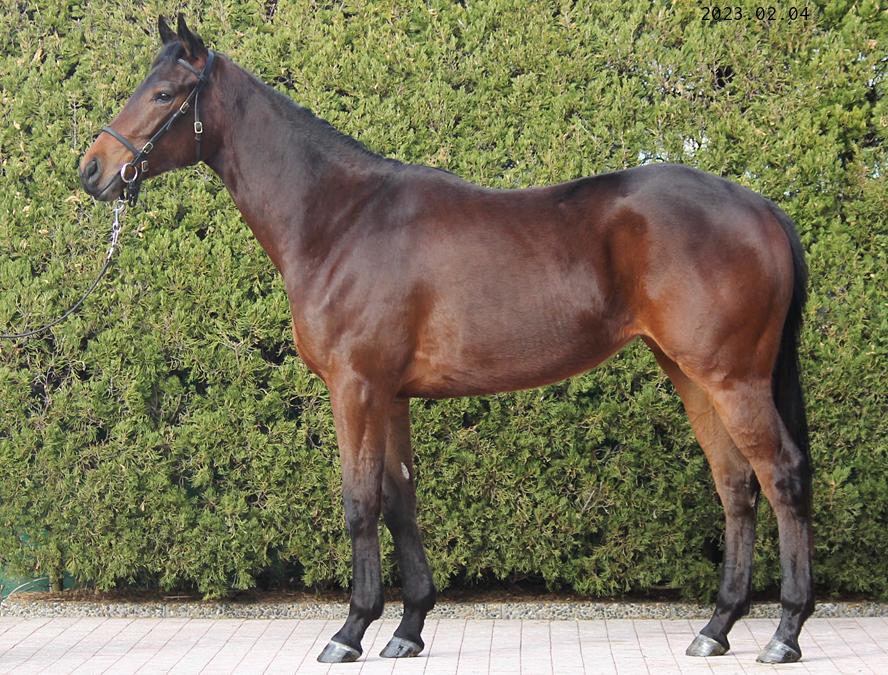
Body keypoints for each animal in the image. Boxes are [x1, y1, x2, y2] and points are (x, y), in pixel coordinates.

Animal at [79, 15, 813, 665]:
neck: (338, 219)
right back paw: (715, 628)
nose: (92, 169)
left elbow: (360, 503)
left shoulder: (355, 387)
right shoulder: (392, 395)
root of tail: (760, 206)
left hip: (732, 378)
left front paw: (350, 631)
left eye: (165, 94)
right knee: (735, 485)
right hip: (690, 374)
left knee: (781, 475)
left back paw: (784, 633)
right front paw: (407, 629)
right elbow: (401, 502)